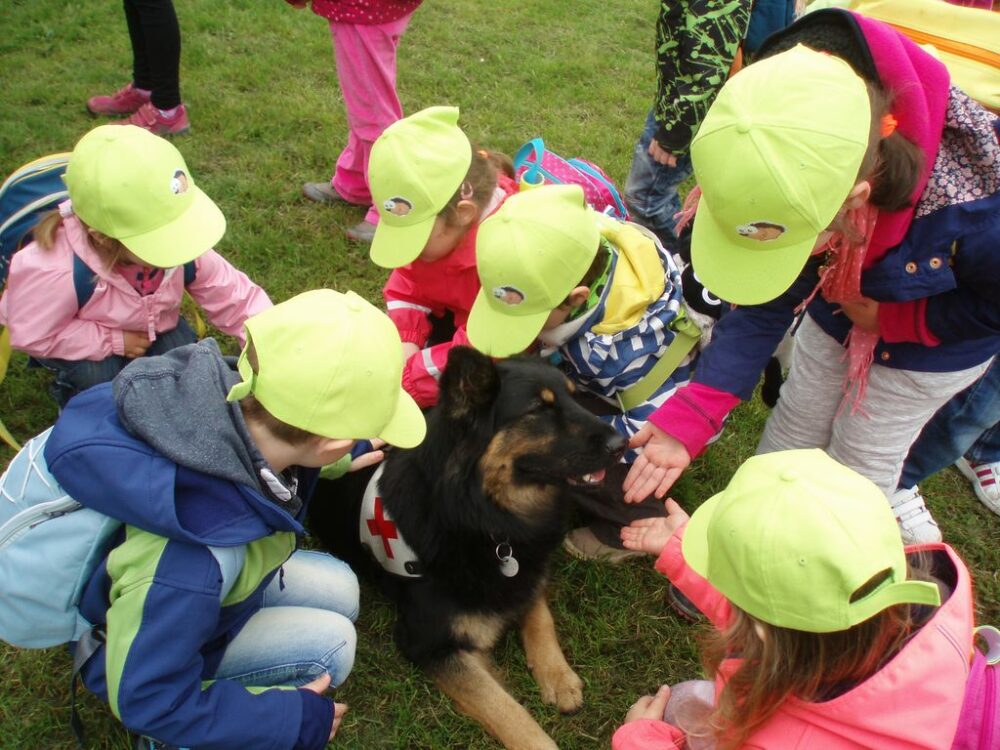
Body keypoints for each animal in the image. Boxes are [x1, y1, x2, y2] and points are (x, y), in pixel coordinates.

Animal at [310, 348, 624, 750]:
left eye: (574, 396)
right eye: (538, 409)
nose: (622, 445)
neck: (480, 514)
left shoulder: (525, 572)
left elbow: (539, 614)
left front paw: (558, 677)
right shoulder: (429, 643)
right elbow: (504, 708)